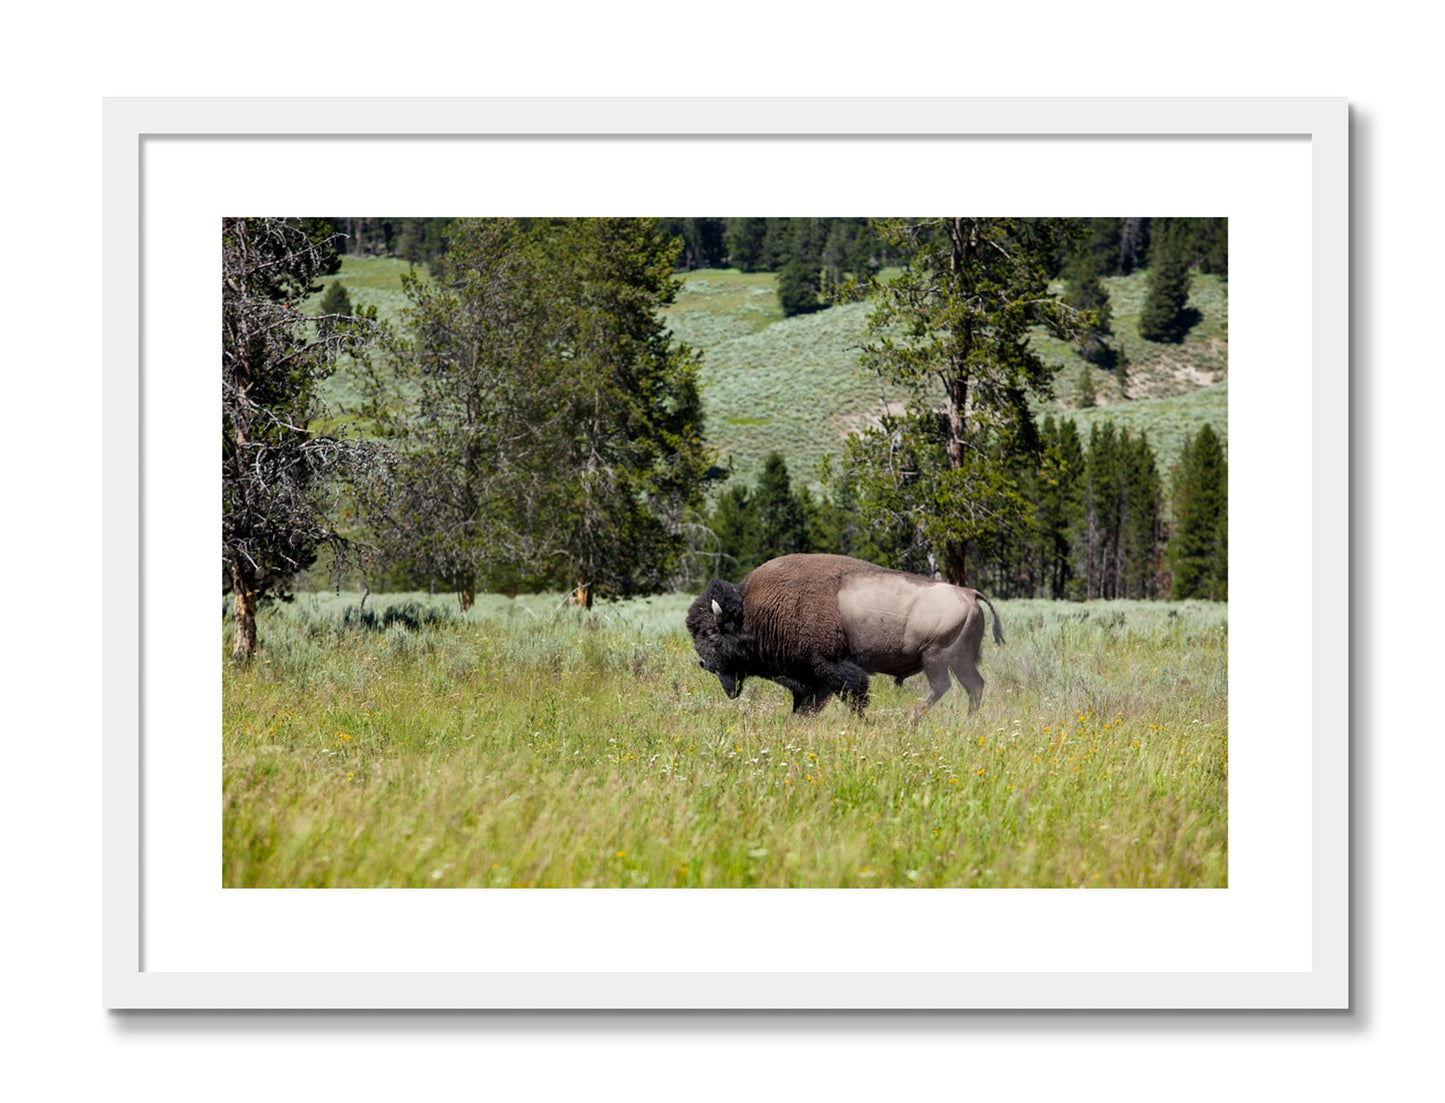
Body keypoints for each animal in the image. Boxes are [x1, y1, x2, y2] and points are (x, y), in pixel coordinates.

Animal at [685, 553, 1004, 720]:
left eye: (711, 633)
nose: (705, 664)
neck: (753, 610)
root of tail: (969, 593)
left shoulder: (831, 667)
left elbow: (854, 695)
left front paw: (862, 722)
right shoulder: (813, 679)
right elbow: (808, 705)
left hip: (936, 657)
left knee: (943, 687)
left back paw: (910, 720)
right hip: (960, 660)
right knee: (974, 686)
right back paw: (967, 721)